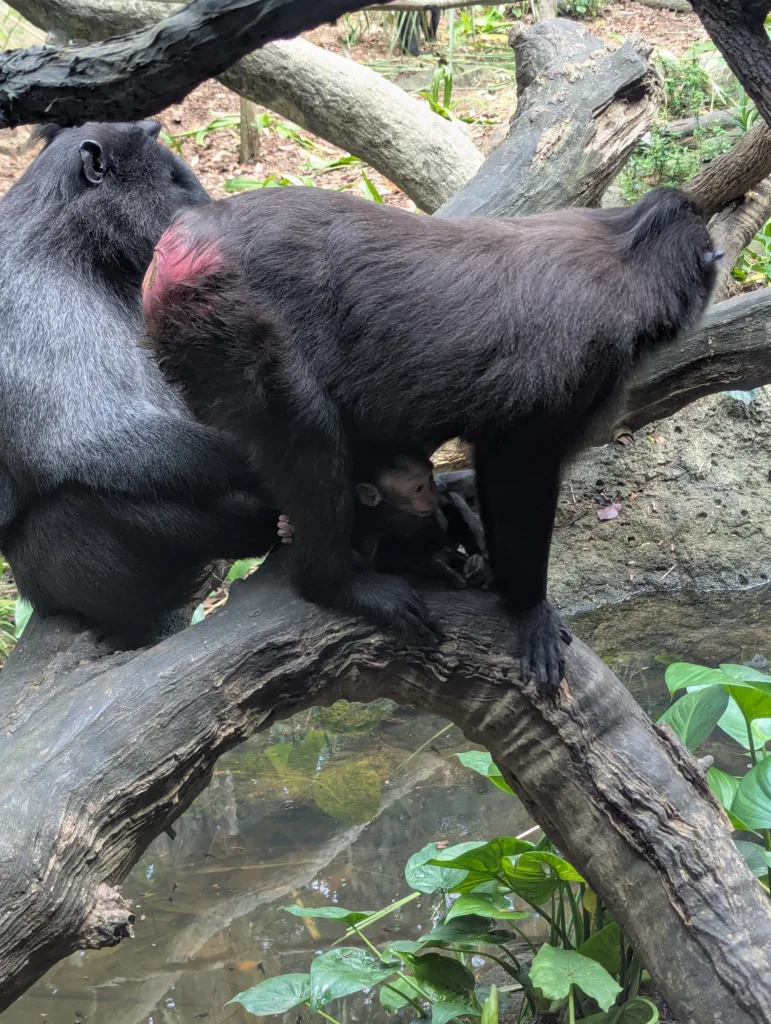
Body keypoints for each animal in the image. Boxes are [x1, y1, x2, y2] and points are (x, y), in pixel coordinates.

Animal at [0, 121, 279, 645]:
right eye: (174, 179)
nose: (212, 212)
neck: (74, 248)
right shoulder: (23, 298)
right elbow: (78, 439)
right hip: (54, 568)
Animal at [277, 447, 491, 590]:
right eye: (418, 488)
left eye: (429, 478)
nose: (432, 493)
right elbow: (370, 560)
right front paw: (437, 562)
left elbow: (448, 504)